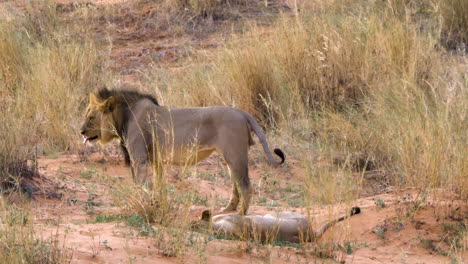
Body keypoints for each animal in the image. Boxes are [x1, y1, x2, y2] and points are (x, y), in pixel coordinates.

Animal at [80, 88, 284, 214]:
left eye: (91, 118)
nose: (81, 131)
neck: (125, 116)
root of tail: (242, 112)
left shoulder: (139, 159)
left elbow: (141, 184)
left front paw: (143, 204)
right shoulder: (156, 160)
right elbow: (159, 185)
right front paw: (158, 204)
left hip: (235, 154)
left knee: (246, 186)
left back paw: (239, 215)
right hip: (231, 158)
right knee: (236, 184)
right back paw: (227, 210)